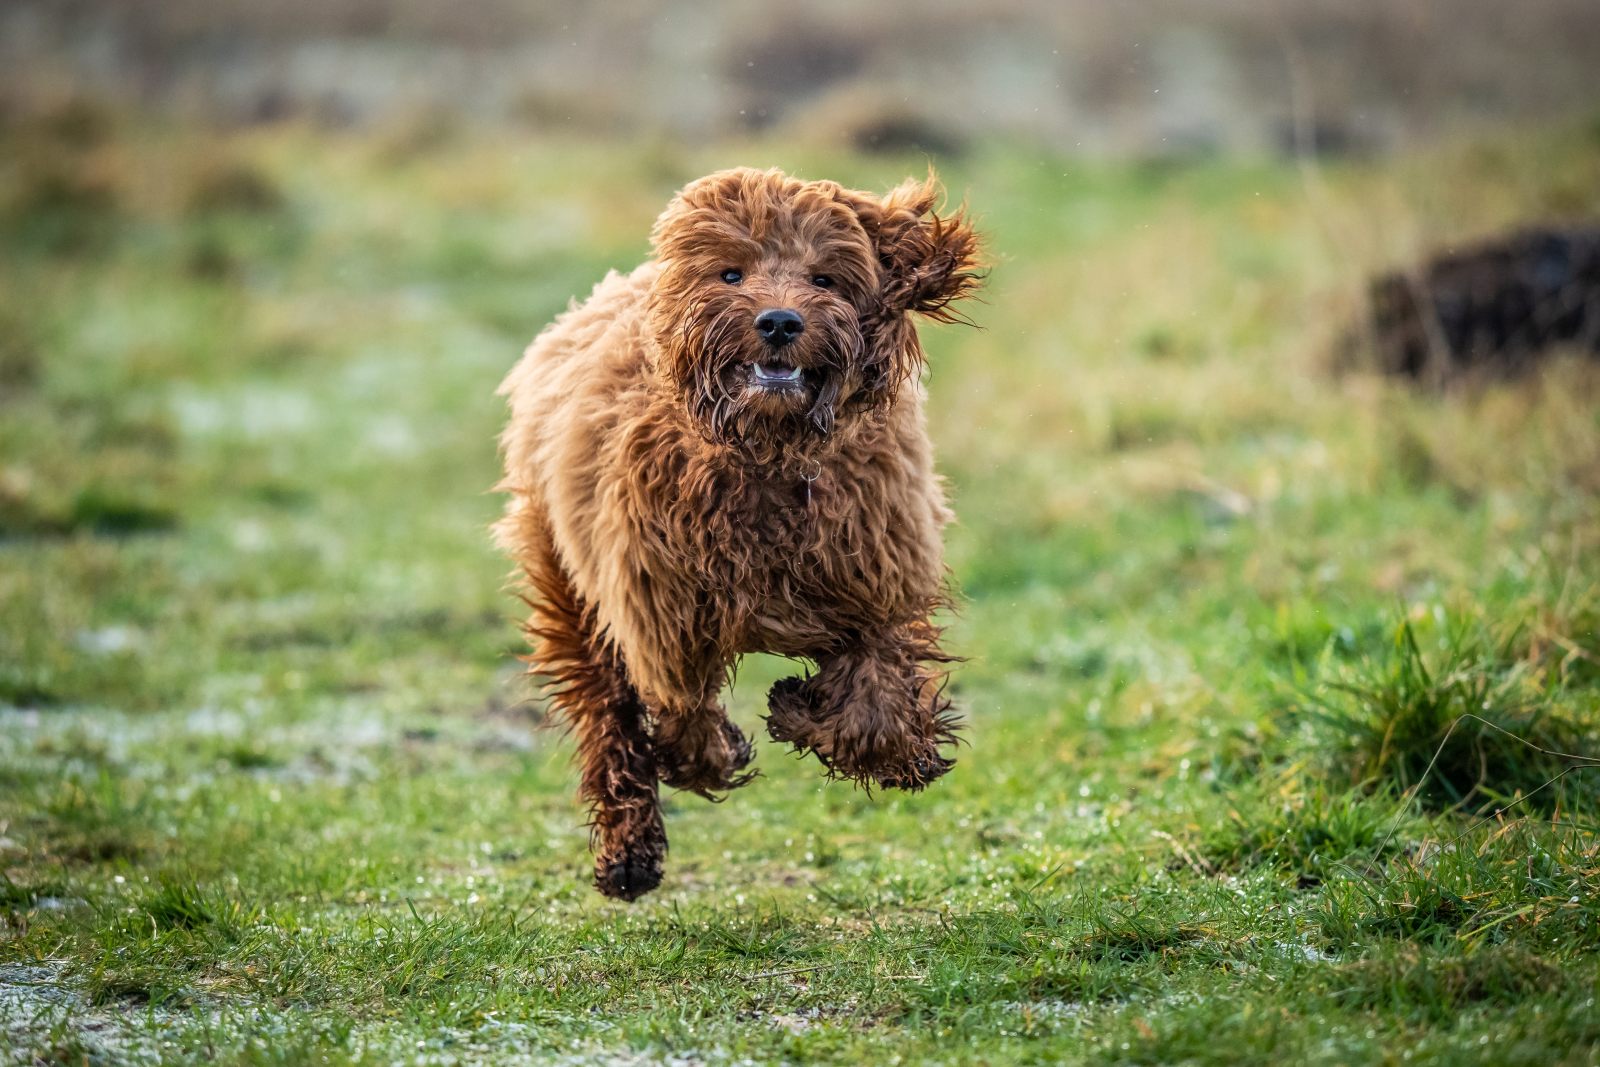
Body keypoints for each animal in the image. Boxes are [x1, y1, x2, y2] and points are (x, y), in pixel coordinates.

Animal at [492, 168, 979, 902]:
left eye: (825, 278)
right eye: (731, 272)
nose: (779, 321)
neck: (769, 452)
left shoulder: (876, 583)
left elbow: (878, 711)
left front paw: (807, 712)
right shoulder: (660, 610)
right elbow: (682, 710)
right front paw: (723, 748)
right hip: (569, 581)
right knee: (606, 713)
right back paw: (629, 853)